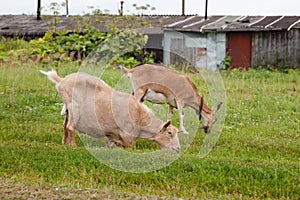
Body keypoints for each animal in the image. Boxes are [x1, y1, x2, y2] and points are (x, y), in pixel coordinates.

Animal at [39, 69, 180, 151]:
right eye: (169, 133)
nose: (178, 149)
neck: (140, 118)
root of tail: (61, 81)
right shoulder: (128, 136)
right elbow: (128, 146)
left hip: (68, 109)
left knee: (64, 126)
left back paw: (64, 143)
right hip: (74, 108)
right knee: (70, 127)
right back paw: (73, 145)